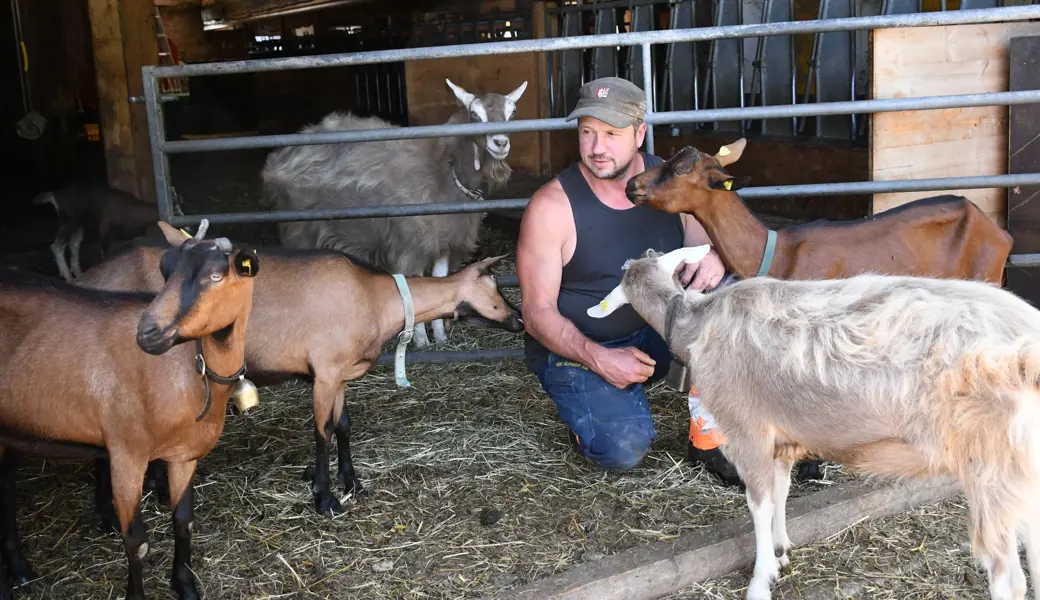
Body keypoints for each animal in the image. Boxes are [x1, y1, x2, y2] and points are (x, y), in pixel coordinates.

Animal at [0, 219, 259, 600]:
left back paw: (19, 569)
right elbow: (136, 541)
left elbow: (183, 520)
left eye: (216, 275)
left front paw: (185, 585)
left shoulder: (184, 454)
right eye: (165, 269)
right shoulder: (127, 453)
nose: (148, 332)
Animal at [32, 182, 174, 282]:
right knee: (57, 245)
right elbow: (104, 253)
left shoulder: (136, 233)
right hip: (69, 220)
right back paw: (68, 277)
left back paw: (78, 273)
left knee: (74, 245)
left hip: (80, 223)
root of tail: (55, 195)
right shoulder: (105, 228)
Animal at [76, 238, 524, 516]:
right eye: (497, 288)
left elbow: (343, 425)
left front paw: (352, 482)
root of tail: (87, 277)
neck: (377, 298)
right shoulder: (325, 371)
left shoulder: (339, 373)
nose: (520, 320)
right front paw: (325, 498)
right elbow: (322, 432)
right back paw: (108, 514)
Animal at [262, 78, 527, 348]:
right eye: (474, 114)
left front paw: (440, 337)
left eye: (512, 112)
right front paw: (421, 341)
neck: (444, 172)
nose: (500, 143)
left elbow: (440, 280)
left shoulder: (445, 242)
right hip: (298, 228)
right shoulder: (412, 247)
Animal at [593, 245, 1040, 600]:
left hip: (991, 466)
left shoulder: (747, 431)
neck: (695, 324)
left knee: (1007, 577)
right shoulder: (782, 436)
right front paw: (781, 550)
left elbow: (759, 504)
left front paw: (761, 580)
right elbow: (782, 492)